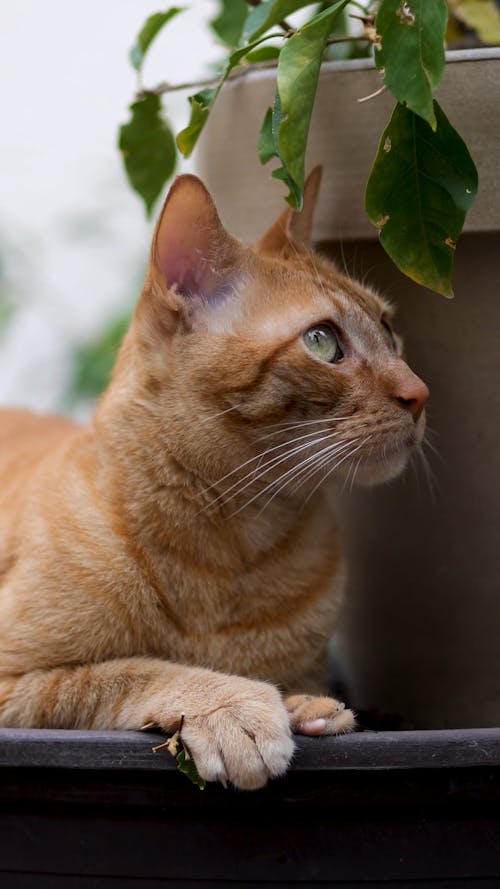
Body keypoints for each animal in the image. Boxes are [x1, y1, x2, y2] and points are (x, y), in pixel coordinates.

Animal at [0, 170, 428, 788]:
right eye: (322, 341)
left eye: (390, 332)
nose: (420, 394)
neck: (232, 547)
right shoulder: (16, 683)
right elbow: (132, 671)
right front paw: (235, 706)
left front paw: (306, 708)